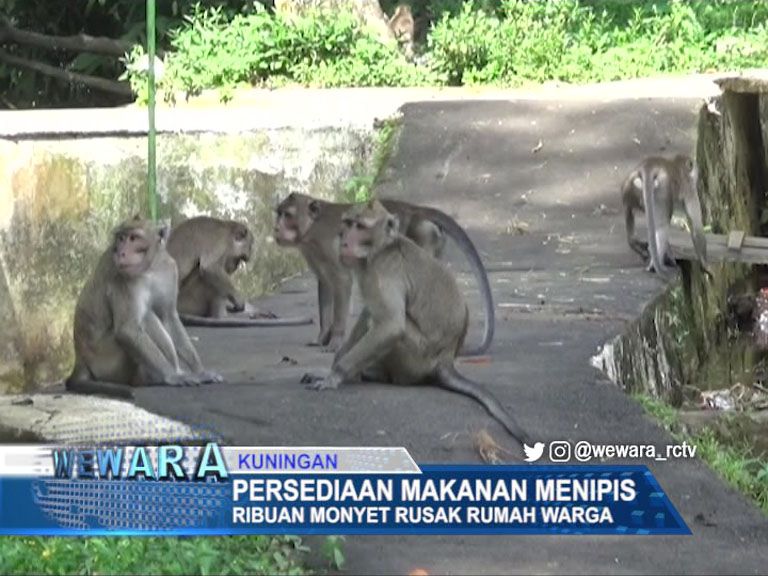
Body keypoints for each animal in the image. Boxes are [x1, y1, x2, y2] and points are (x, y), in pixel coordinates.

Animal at [65, 214, 224, 398]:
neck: (151, 267)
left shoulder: (169, 270)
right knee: (145, 317)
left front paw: (200, 371)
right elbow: (128, 329)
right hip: (107, 362)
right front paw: (172, 376)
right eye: (121, 238)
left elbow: (168, 316)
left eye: (133, 238)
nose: (121, 253)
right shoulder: (122, 278)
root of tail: (80, 360)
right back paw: (156, 377)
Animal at [166, 215, 314, 328]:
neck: (226, 229)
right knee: (203, 275)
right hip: (188, 300)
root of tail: (174, 310)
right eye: (240, 258)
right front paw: (239, 301)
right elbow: (210, 267)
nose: (235, 267)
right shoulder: (220, 241)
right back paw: (221, 318)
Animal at [272, 194, 496, 356]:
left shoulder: (326, 243)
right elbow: (325, 284)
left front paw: (335, 340)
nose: (275, 228)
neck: (312, 227)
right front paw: (321, 337)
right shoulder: (313, 251)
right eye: (278, 213)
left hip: (417, 237)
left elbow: (341, 282)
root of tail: (415, 209)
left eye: (287, 215)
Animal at [304, 200, 532, 448]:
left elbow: (391, 325)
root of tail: (446, 360)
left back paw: (369, 375)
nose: (344, 240)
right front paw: (331, 367)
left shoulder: (384, 272)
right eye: (347, 223)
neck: (381, 249)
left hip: (415, 358)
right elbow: (370, 313)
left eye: (360, 226)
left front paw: (335, 375)